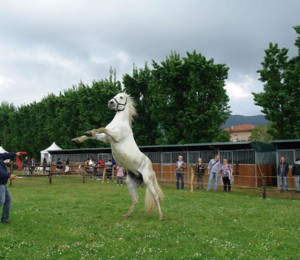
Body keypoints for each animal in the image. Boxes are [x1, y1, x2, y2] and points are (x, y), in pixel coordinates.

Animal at [72, 92, 164, 220]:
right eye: (115, 95)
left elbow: (102, 128)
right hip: (130, 183)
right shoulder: (106, 138)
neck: (119, 122)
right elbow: (94, 134)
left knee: (156, 196)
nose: (110, 103)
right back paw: (127, 215)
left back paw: (160, 216)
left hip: (148, 180)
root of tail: (151, 168)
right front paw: (78, 139)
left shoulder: (115, 135)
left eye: (121, 97)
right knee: (135, 200)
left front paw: (90, 132)